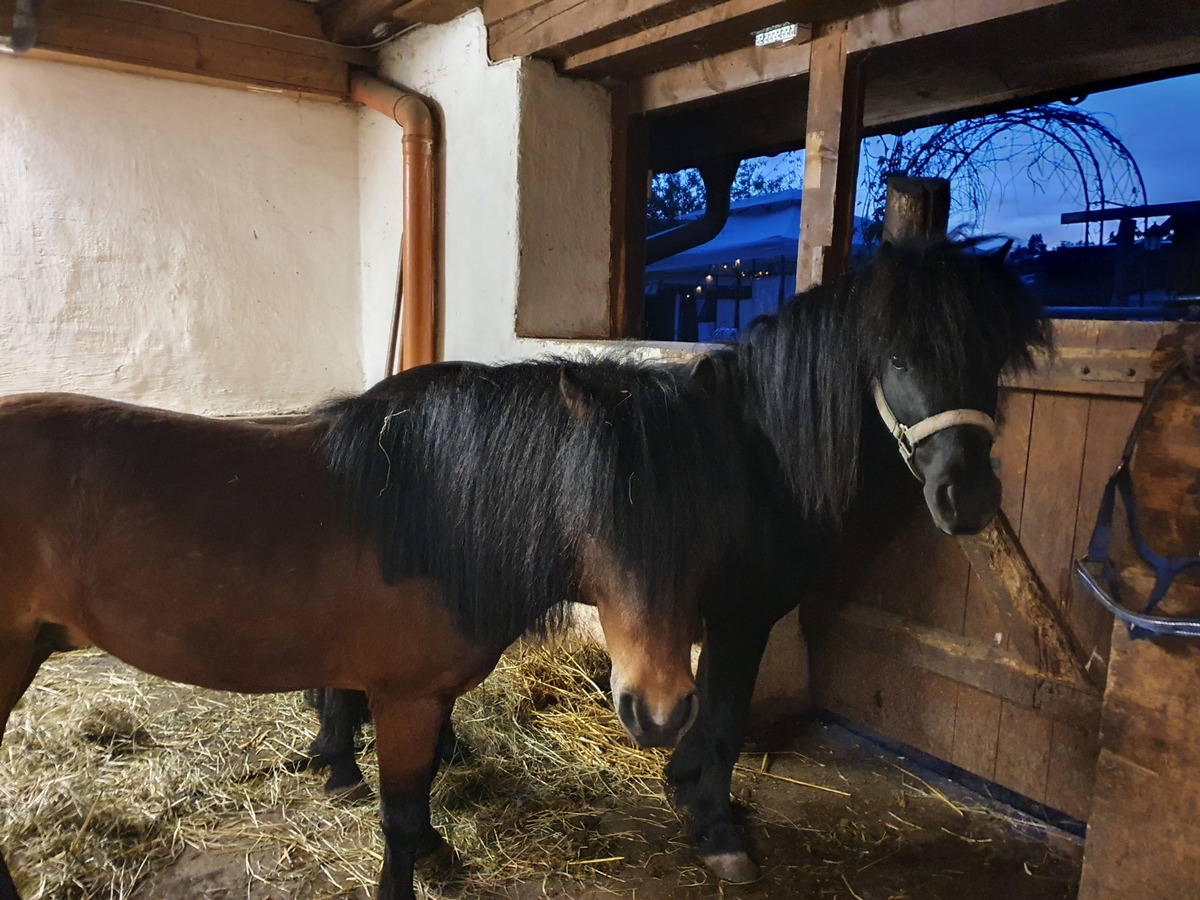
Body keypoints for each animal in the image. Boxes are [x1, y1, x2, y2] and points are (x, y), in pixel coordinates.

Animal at [0, 355, 748, 897]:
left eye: (707, 516)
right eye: (595, 514)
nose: (660, 709)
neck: (436, 517)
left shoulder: (427, 700)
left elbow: (419, 795)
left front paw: (436, 851)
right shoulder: (405, 700)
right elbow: (401, 813)